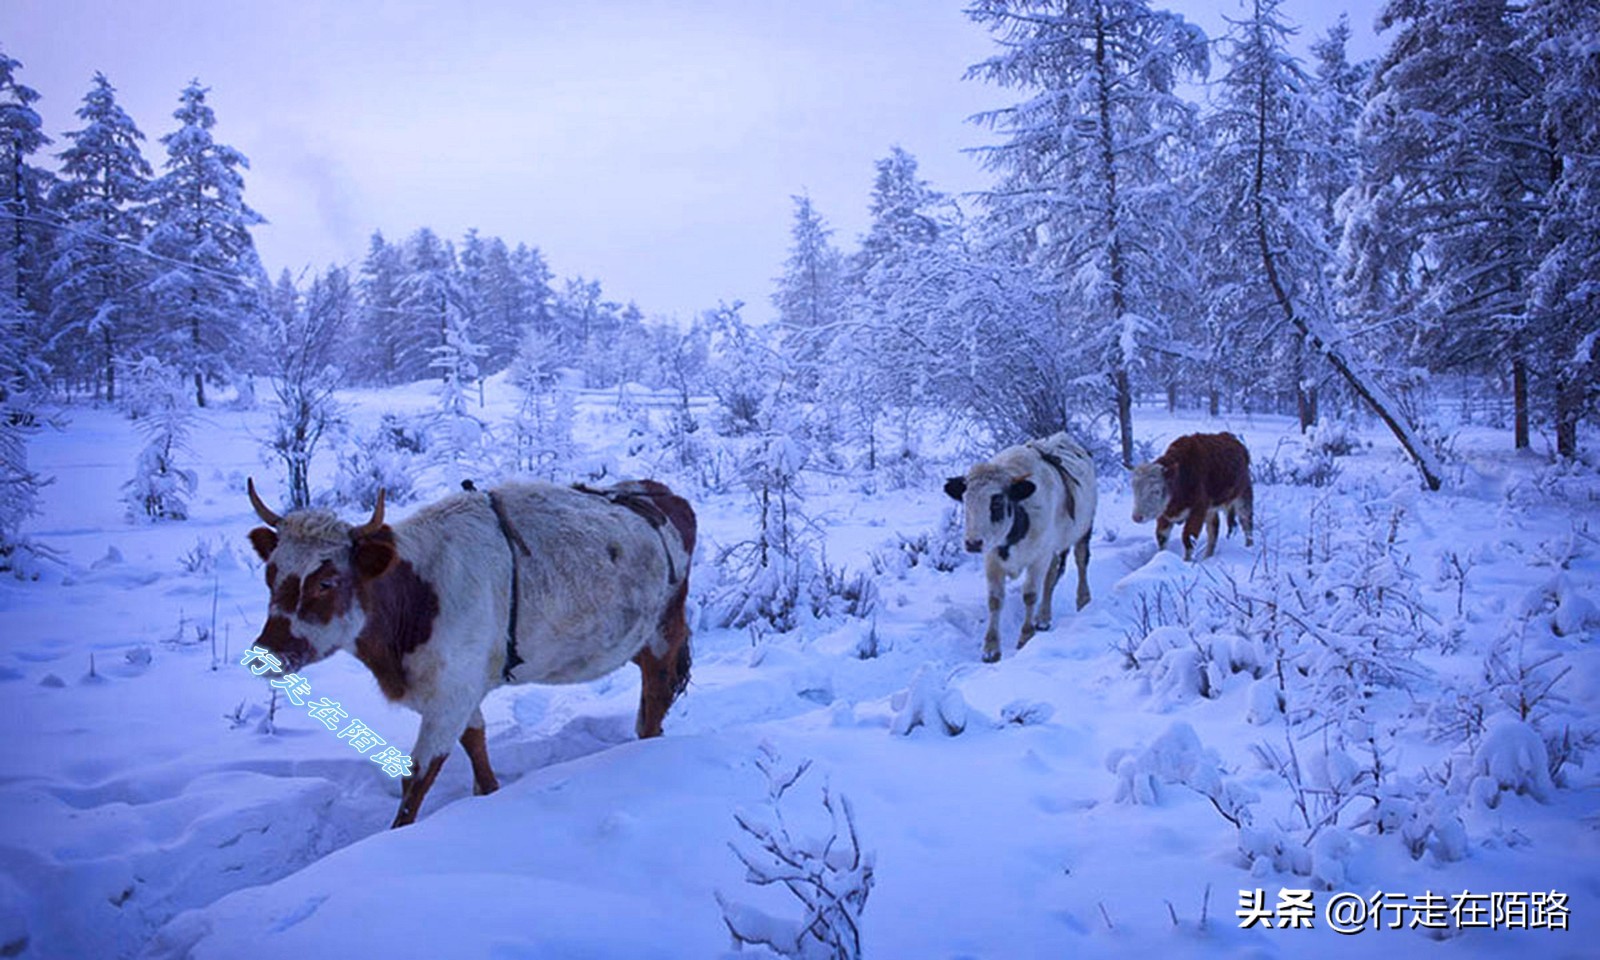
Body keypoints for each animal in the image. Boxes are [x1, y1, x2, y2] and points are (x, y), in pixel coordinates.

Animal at [244, 476, 694, 825]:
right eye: (271, 575)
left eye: (327, 582)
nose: (266, 653)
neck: (417, 595)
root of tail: (660, 493)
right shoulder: (458, 690)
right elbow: (476, 746)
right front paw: (489, 793)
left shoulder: (451, 694)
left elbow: (417, 779)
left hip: (662, 634)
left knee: (655, 699)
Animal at [934, 432, 1100, 662]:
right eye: (966, 501)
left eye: (996, 502)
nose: (973, 543)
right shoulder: (992, 559)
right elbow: (995, 600)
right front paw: (991, 648)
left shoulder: (1038, 557)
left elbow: (1030, 594)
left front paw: (1025, 637)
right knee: (1052, 575)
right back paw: (1043, 617)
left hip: (1083, 529)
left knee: (1081, 560)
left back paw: (1083, 601)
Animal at [1132, 432, 1254, 560]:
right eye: (1134, 489)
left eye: (1156, 491)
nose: (1137, 517)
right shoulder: (1164, 514)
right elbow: (1162, 537)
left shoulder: (1197, 511)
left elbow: (1189, 538)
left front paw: (1187, 561)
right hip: (1211, 510)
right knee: (1213, 530)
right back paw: (1207, 557)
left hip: (1244, 497)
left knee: (1247, 523)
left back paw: (1249, 548)